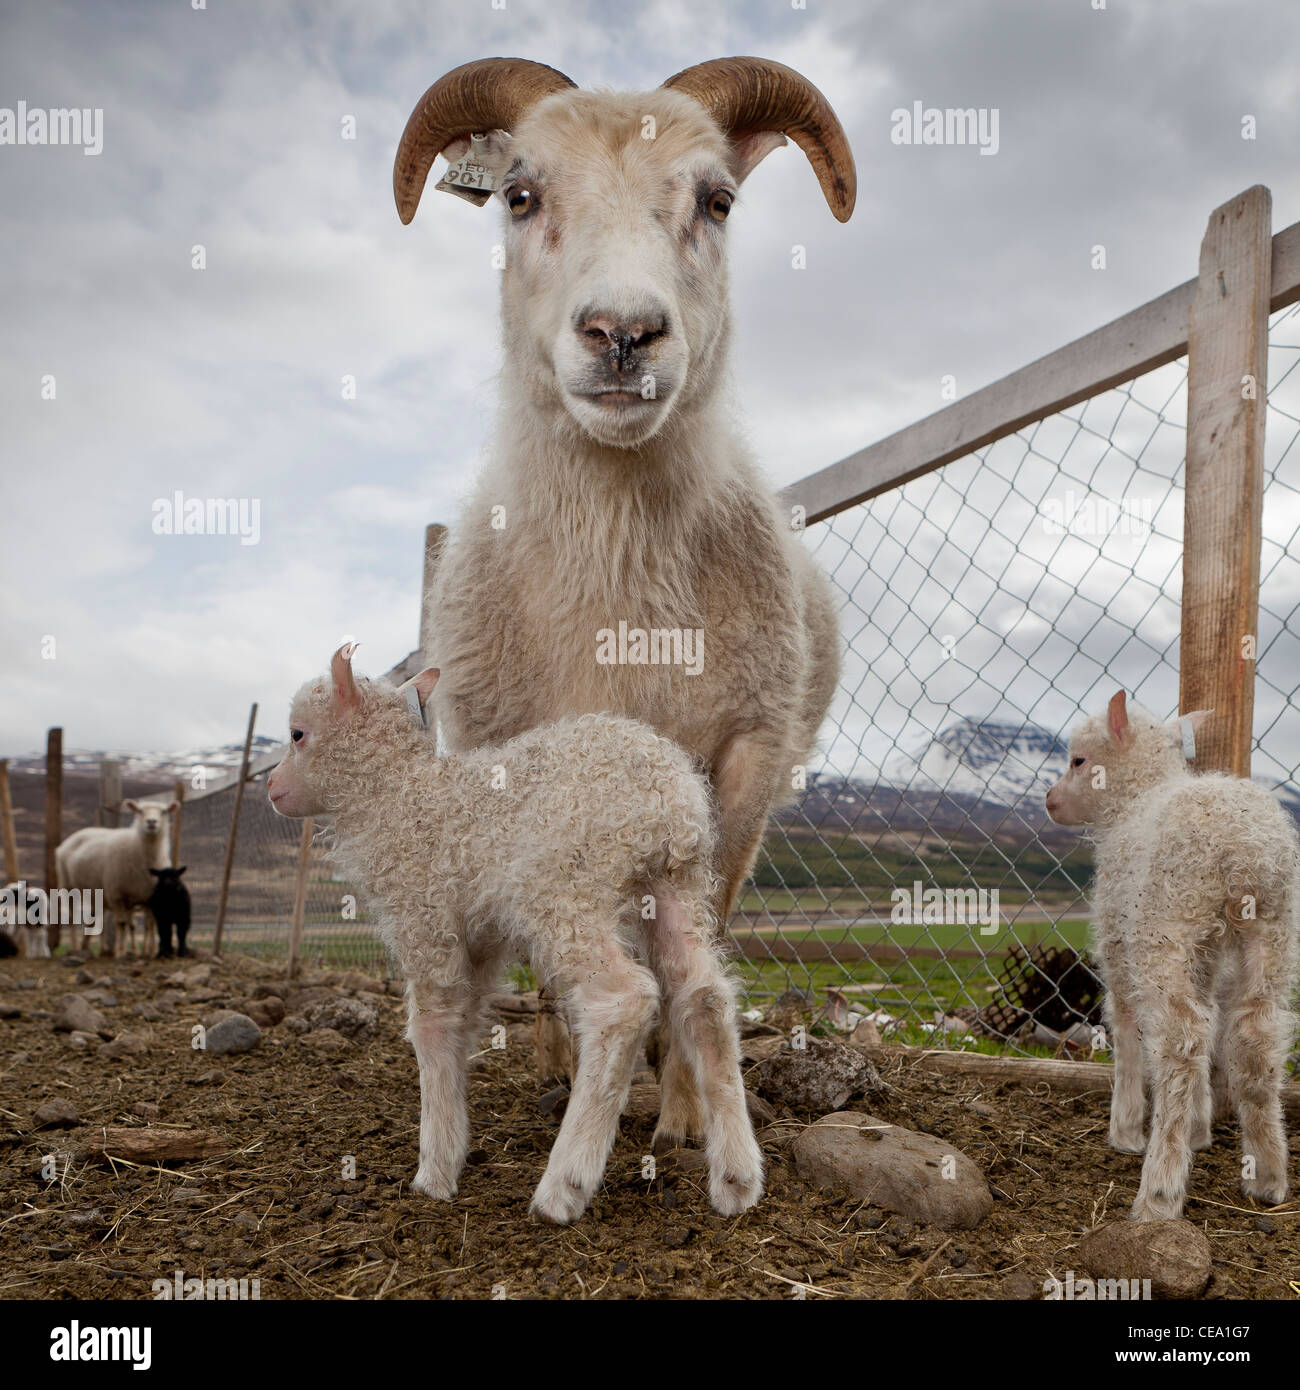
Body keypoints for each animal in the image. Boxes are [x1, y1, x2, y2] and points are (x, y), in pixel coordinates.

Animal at [56, 795, 179, 956]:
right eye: (140, 811)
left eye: (164, 811)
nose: (151, 822)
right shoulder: (117, 894)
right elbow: (122, 923)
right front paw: (120, 951)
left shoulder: (147, 897)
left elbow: (147, 925)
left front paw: (148, 952)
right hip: (68, 886)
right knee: (72, 918)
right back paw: (76, 947)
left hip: (97, 893)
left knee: (96, 920)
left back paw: (95, 949)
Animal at [268, 644, 767, 1223]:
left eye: (298, 734)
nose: (271, 787)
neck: (400, 797)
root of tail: (662, 794)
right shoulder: (477, 943)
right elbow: (461, 1026)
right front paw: (454, 1146)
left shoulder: (424, 917)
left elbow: (432, 1028)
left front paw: (433, 1174)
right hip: (675, 884)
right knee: (705, 995)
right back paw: (736, 1180)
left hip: (565, 885)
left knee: (623, 1001)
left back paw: (563, 1186)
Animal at [397, 54, 856, 1139]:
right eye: (519, 196)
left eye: (717, 200)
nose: (623, 333)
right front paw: (574, 1067)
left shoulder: (744, 758)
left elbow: (700, 937)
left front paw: (685, 1109)